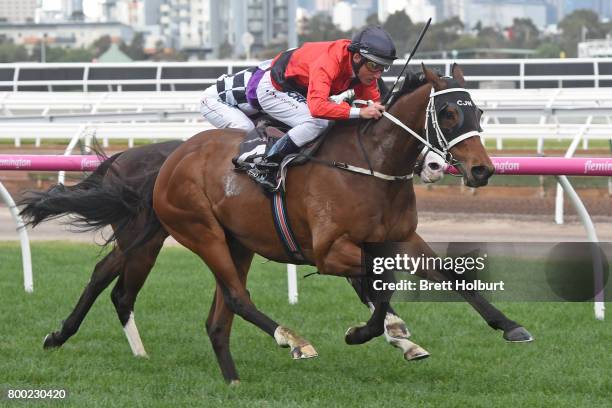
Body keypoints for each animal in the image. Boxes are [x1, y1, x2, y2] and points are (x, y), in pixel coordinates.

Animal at [152, 65, 532, 384]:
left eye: (478, 112)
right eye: (448, 113)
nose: (482, 170)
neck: (370, 167)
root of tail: (174, 157)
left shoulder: (403, 238)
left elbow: (451, 276)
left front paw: (510, 326)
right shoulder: (329, 252)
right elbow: (384, 285)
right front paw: (363, 333)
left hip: (239, 244)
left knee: (220, 316)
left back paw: (233, 379)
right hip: (203, 233)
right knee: (238, 297)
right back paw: (294, 341)